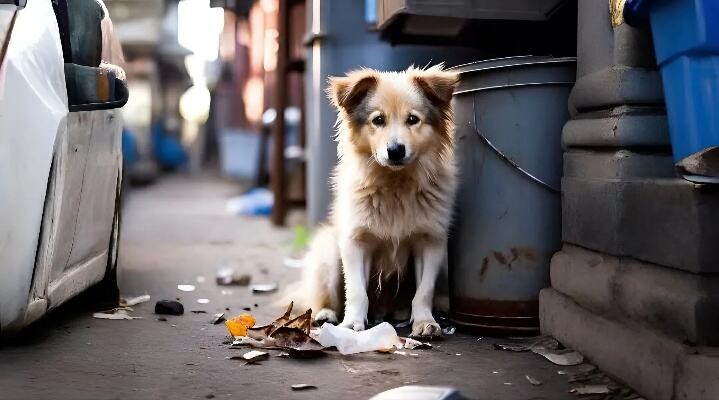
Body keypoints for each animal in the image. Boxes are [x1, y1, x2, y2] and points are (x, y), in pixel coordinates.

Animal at [290, 65, 458, 338]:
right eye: (378, 120)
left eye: (413, 119)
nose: (395, 150)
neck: (395, 184)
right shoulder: (356, 242)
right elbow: (357, 291)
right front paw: (352, 324)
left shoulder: (431, 242)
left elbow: (423, 292)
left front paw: (425, 321)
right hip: (328, 254)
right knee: (325, 296)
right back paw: (325, 314)